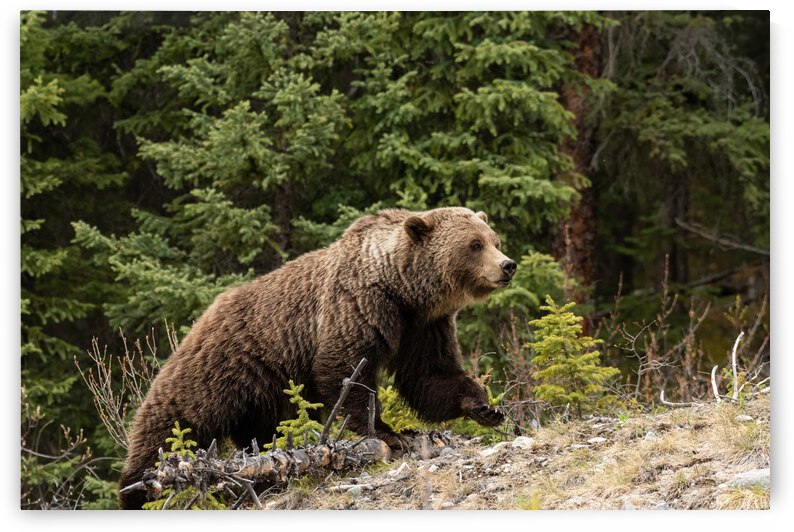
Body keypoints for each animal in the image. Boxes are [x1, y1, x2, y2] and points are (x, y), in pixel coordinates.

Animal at [118, 206, 516, 509]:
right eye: (474, 244)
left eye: (494, 240)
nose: (508, 265)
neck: (403, 289)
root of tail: (202, 316)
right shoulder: (358, 306)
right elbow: (345, 370)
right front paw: (387, 434)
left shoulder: (423, 325)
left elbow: (429, 375)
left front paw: (485, 406)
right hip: (220, 366)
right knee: (174, 420)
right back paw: (138, 489)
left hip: (266, 390)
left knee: (263, 431)